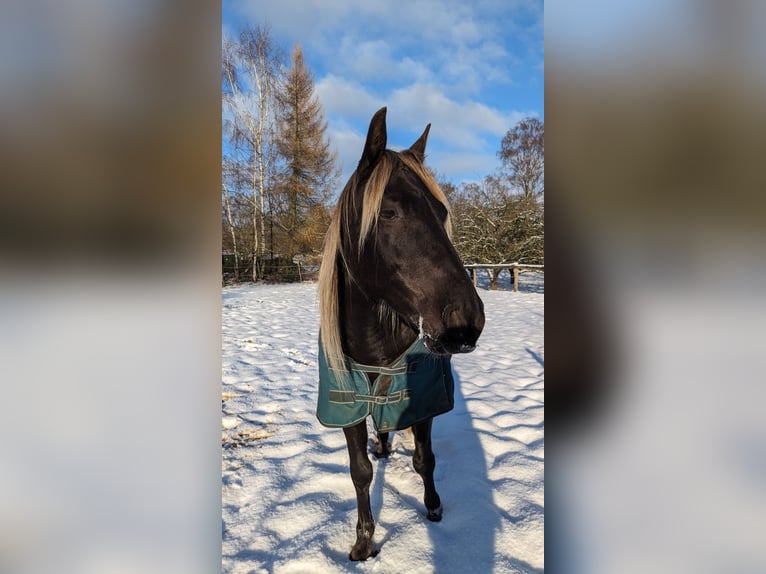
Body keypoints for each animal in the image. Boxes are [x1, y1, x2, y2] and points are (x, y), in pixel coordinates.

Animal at [316, 107, 485, 561]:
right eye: (389, 212)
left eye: (442, 214)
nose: (466, 321)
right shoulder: (347, 404)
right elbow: (360, 472)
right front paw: (363, 541)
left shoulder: (422, 402)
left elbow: (425, 459)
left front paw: (434, 509)